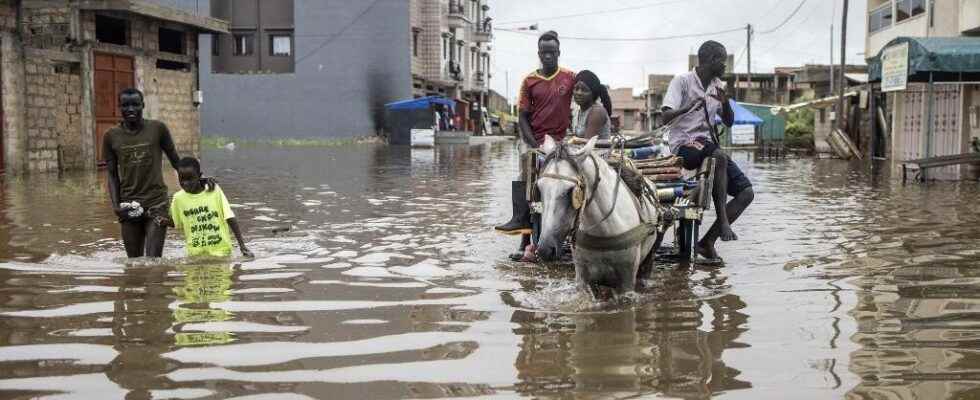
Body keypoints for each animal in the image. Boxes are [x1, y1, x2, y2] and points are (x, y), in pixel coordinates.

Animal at [536, 136, 668, 298]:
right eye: (539, 187)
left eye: (570, 191)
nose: (544, 250)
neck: (604, 231)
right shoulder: (583, 279)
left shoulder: (627, 282)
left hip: (648, 258)